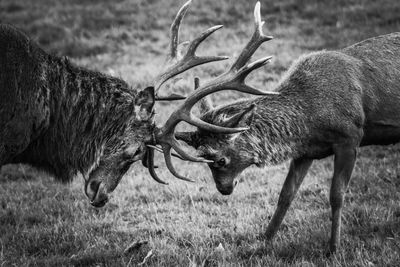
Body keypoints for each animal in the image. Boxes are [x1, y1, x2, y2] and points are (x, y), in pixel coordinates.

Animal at [154, 1, 400, 253]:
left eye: (220, 159)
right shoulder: (305, 152)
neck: (310, 117)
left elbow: (337, 195)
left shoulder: (351, 136)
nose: (224, 189)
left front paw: (334, 247)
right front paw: (265, 239)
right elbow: (286, 194)